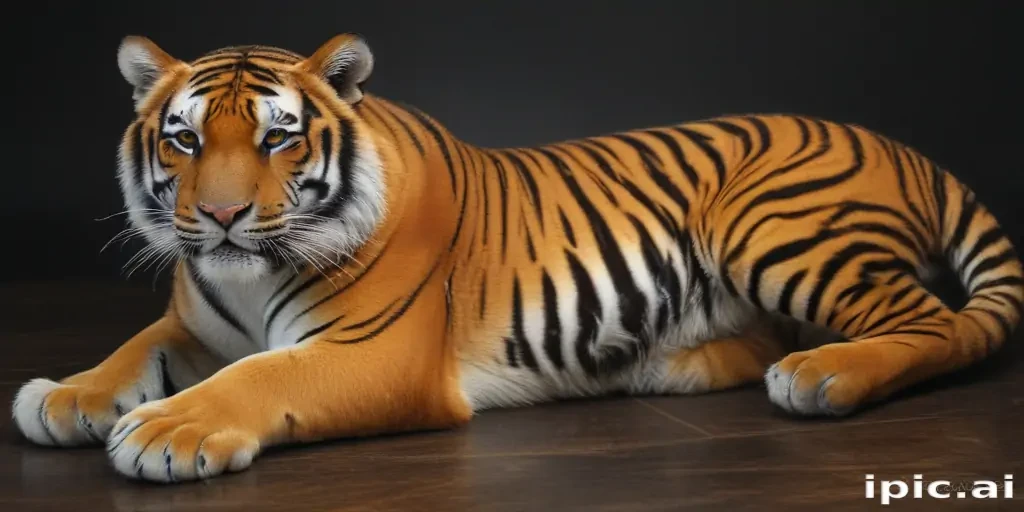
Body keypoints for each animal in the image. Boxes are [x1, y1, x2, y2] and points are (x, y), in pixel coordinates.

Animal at [11, 33, 1023, 484]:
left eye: (278, 138)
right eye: (182, 140)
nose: (219, 216)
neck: (245, 274)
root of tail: (897, 143)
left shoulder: (376, 355)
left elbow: (257, 378)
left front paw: (168, 431)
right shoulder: (194, 326)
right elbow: (133, 351)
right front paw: (66, 397)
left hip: (769, 223)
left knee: (938, 324)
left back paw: (824, 376)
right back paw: (673, 367)